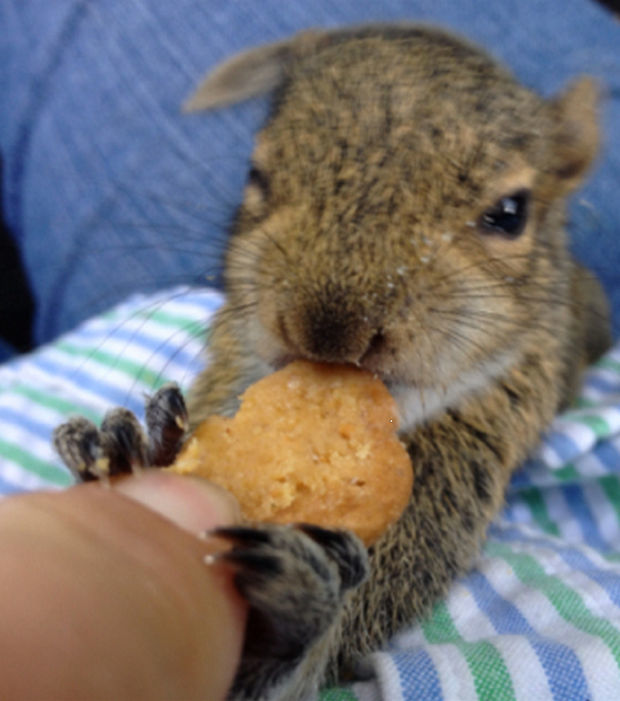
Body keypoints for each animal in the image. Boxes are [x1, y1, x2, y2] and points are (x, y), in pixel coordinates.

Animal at [52, 21, 612, 700]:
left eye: (511, 213)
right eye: (256, 175)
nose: (329, 329)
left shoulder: (450, 482)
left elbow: (318, 660)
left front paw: (283, 622)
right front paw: (135, 448)